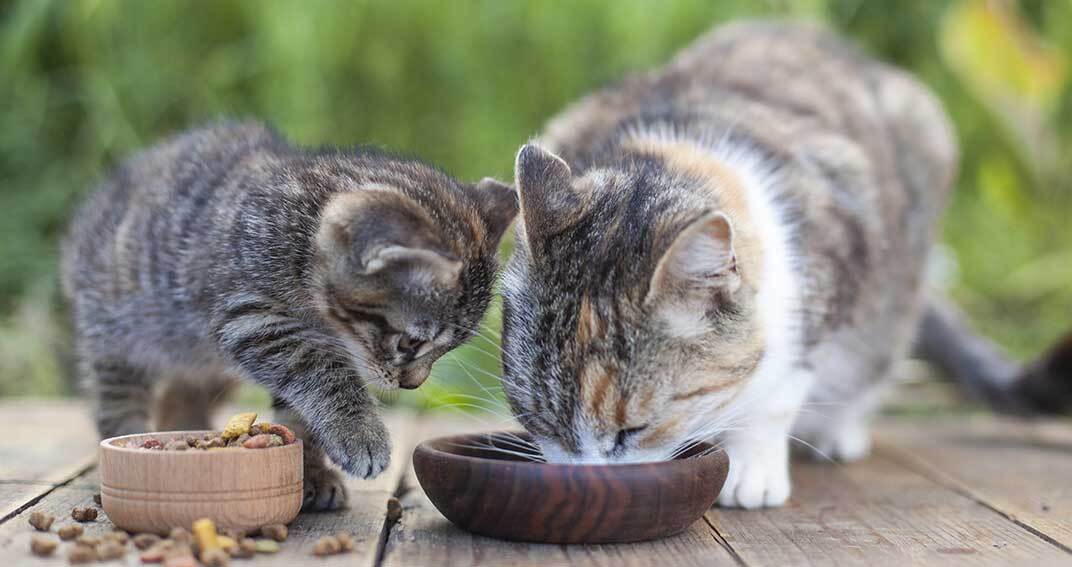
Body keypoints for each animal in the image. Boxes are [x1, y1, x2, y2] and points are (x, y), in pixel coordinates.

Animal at [60, 121, 516, 510]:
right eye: (411, 342)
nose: (412, 385)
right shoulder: (250, 318)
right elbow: (320, 369)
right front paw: (360, 433)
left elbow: (298, 410)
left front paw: (311, 470)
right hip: (115, 334)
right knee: (116, 398)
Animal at [497, 22, 1067, 508]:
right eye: (539, 419)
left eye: (629, 433)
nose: (582, 483)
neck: (681, 150)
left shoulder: (834, 264)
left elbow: (780, 386)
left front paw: (751, 463)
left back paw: (840, 428)